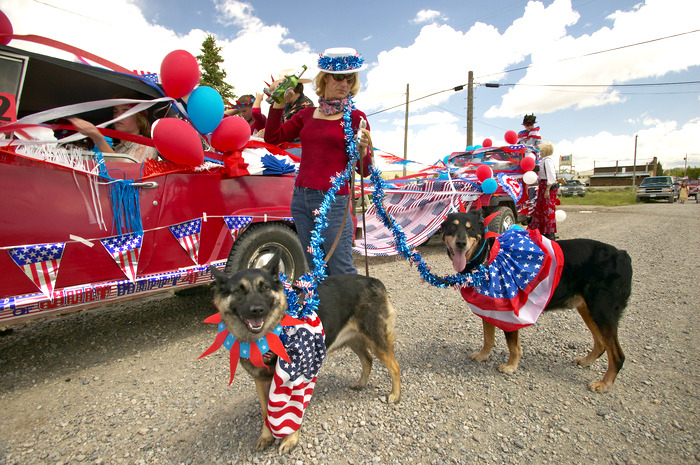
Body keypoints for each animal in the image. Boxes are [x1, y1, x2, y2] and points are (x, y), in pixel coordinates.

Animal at [209, 254, 400, 454]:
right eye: (239, 291)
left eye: (265, 288)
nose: (257, 309)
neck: (270, 333)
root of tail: (373, 280)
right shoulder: (261, 380)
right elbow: (265, 411)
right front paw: (266, 436)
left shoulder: (293, 377)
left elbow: (292, 411)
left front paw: (291, 439)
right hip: (353, 339)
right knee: (368, 360)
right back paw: (361, 383)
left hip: (375, 340)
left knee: (394, 366)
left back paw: (395, 395)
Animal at [442, 210, 636, 392]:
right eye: (452, 226)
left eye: (470, 229)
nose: (461, 243)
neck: (487, 257)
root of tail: (623, 255)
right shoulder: (488, 307)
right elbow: (488, 338)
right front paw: (483, 356)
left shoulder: (509, 312)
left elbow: (513, 345)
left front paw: (511, 366)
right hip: (588, 310)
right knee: (602, 344)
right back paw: (587, 361)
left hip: (602, 312)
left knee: (618, 355)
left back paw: (604, 383)